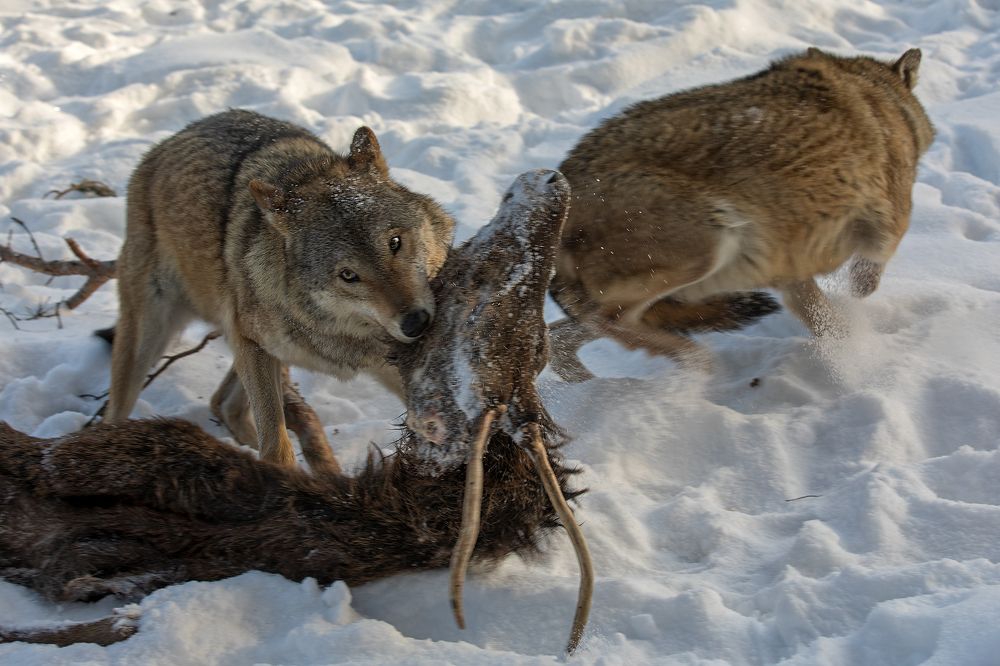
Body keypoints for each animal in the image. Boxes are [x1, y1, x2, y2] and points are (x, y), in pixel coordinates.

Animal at [107, 109, 455, 465]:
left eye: (394, 243)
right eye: (348, 275)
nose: (415, 323)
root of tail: (165, 144)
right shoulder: (252, 344)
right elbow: (276, 446)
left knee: (223, 403)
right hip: (151, 338)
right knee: (117, 413)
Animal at [548, 48, 935, 380]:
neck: (884, 99)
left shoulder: (790, 274)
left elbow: (830, 324)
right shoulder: (891, 220)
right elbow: (869, 275)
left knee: (559, 339)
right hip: (710, 242)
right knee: (606, 320)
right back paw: (694, 365)